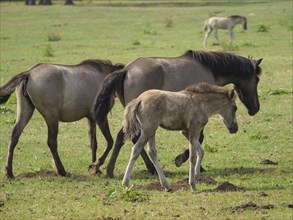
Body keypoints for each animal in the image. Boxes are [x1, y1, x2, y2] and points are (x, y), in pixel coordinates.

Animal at [92, 49, 262, 177]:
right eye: (257, 80)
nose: (256, 108)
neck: (209, 69)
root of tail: (126, 69)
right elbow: (199, 138)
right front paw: (183, 161)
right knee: (124, 137)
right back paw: (111, 170)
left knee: (131, 138)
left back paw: (147, 168)